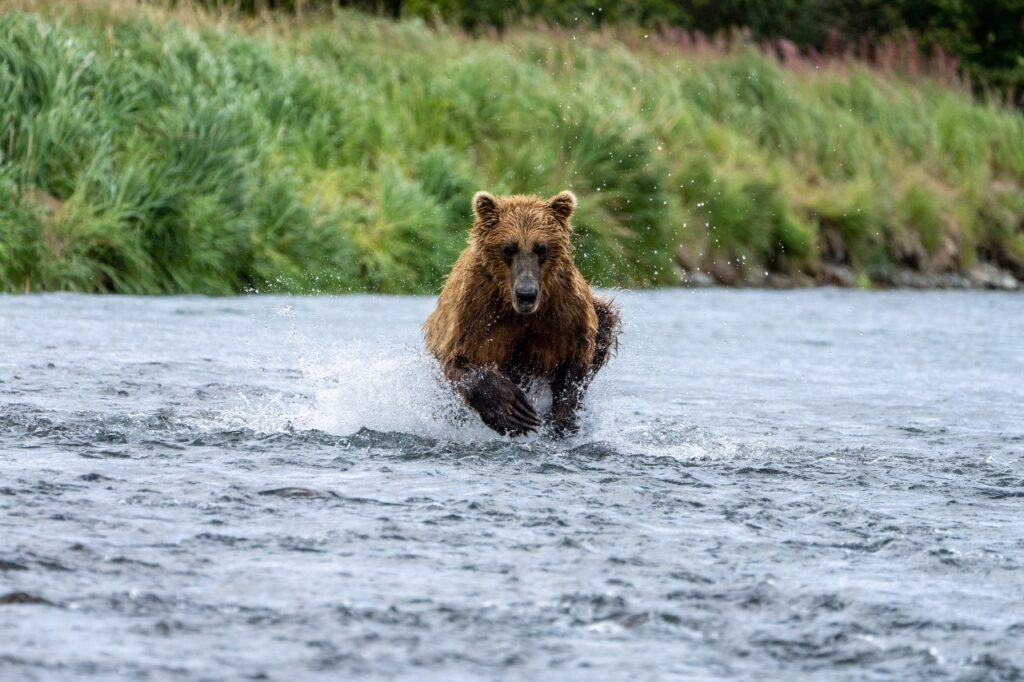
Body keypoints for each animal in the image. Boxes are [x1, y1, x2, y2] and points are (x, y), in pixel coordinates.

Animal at [423, 190, 621, 437]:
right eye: (509, 248)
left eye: (541, 248)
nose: (526, 294)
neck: (518, 311)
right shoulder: (475, 313)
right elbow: (461, 361)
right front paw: (512, 411)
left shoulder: (565, 314)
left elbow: (574, 364)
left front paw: (561, 421)